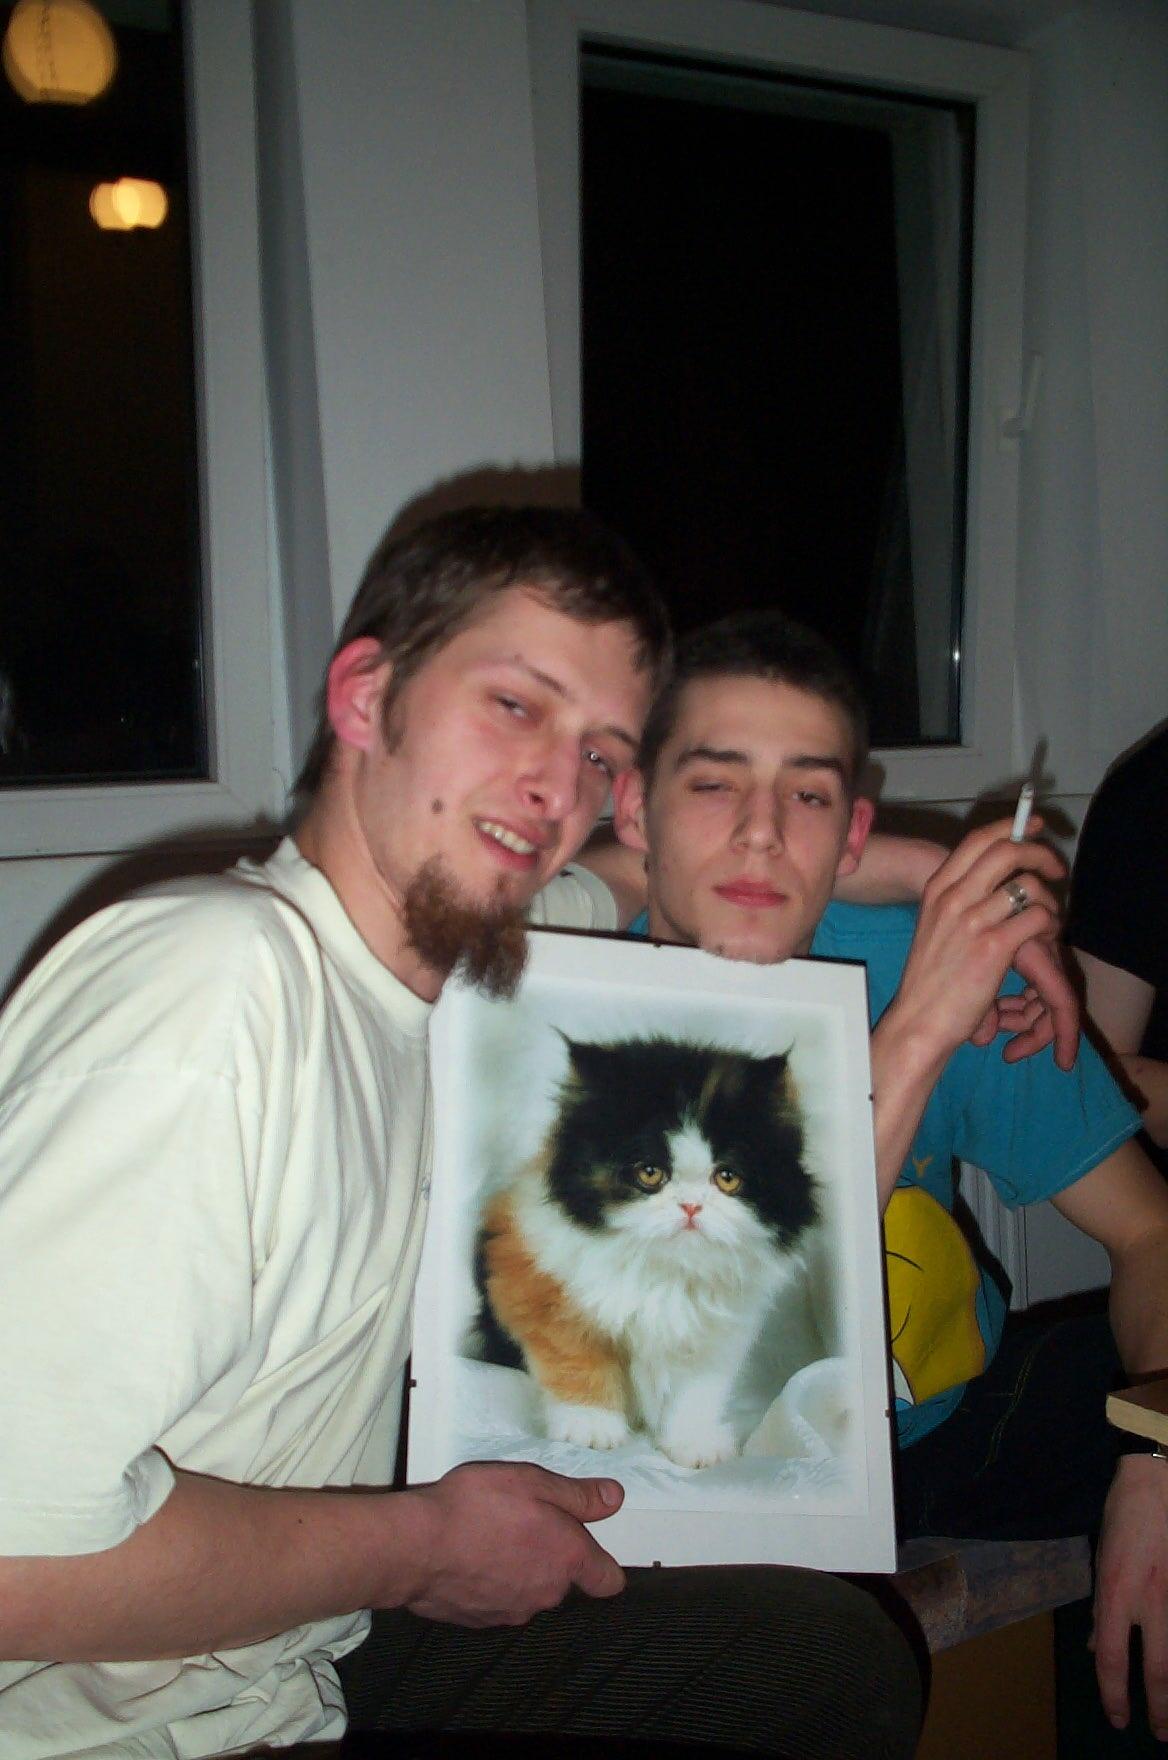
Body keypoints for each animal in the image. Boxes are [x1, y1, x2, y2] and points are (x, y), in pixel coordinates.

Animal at [469, 1033, 819, 1469]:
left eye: (727, 1178)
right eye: (650, 1173)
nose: (691, 1206)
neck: (664, 1271)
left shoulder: (713, 1334)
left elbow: (697, 1390)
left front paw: (694, 1443)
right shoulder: (535, 1284)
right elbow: (577, 1357)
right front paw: (590, 1427)